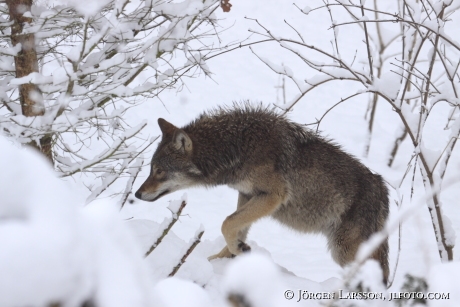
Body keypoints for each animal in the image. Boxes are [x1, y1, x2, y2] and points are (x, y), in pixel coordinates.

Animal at [135, 106, 390, 284]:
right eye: (151, 168)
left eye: (159, 171)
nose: (137, 193)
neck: (237, 148)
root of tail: (382, 188)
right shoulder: (247, 194)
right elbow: (235, 228)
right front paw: (224, 258)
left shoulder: (273, 196)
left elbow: (227, 223)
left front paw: (237, 251)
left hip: (344, 251)